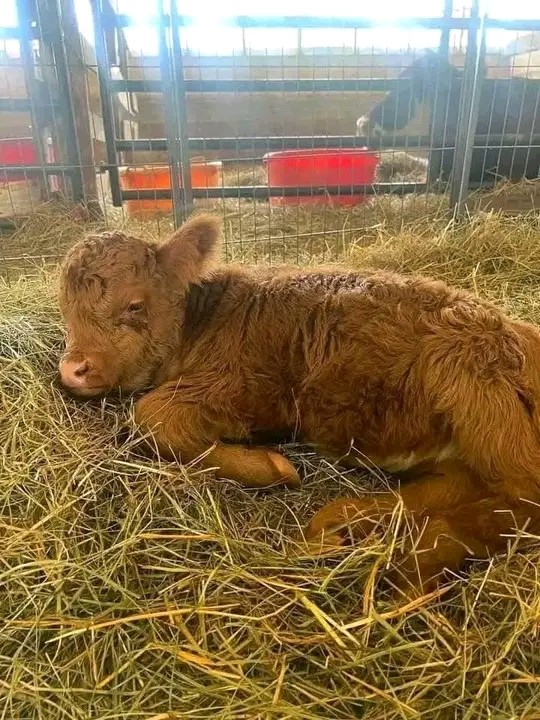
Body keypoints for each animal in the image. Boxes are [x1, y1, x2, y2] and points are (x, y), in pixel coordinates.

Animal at [58, 213, 540, 596]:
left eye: (134, 305)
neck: (205, 322)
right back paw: (345, 524)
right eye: (66, 310)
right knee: (458, 486)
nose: (73, 369)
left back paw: (419, 561)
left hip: (473, 381)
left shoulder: (241, 389)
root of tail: (520, 332)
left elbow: (152, 415)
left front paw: (271, 466)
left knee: (525, 498)